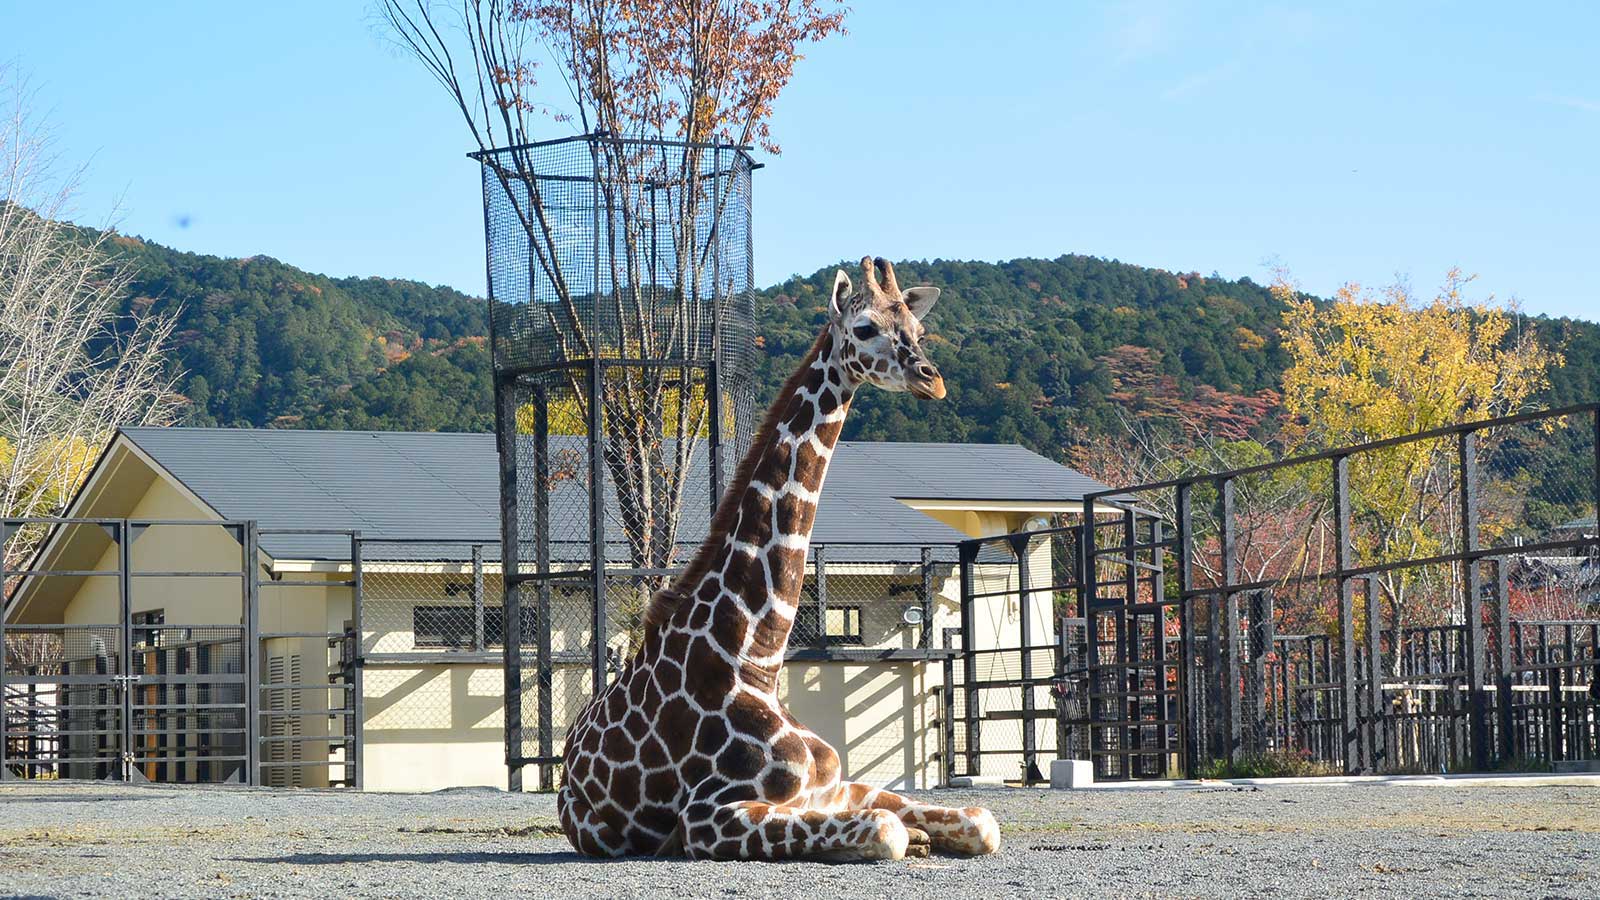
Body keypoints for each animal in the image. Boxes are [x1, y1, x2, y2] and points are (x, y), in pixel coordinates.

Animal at [553, 256, 998, 858]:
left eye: (918, 331)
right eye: (865, 329)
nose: (932, 379)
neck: (754, 660)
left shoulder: (835, 785)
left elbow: (980, 820)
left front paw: (930, 833)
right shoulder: (705, 816)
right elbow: (886, 831)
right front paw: (908, 839)